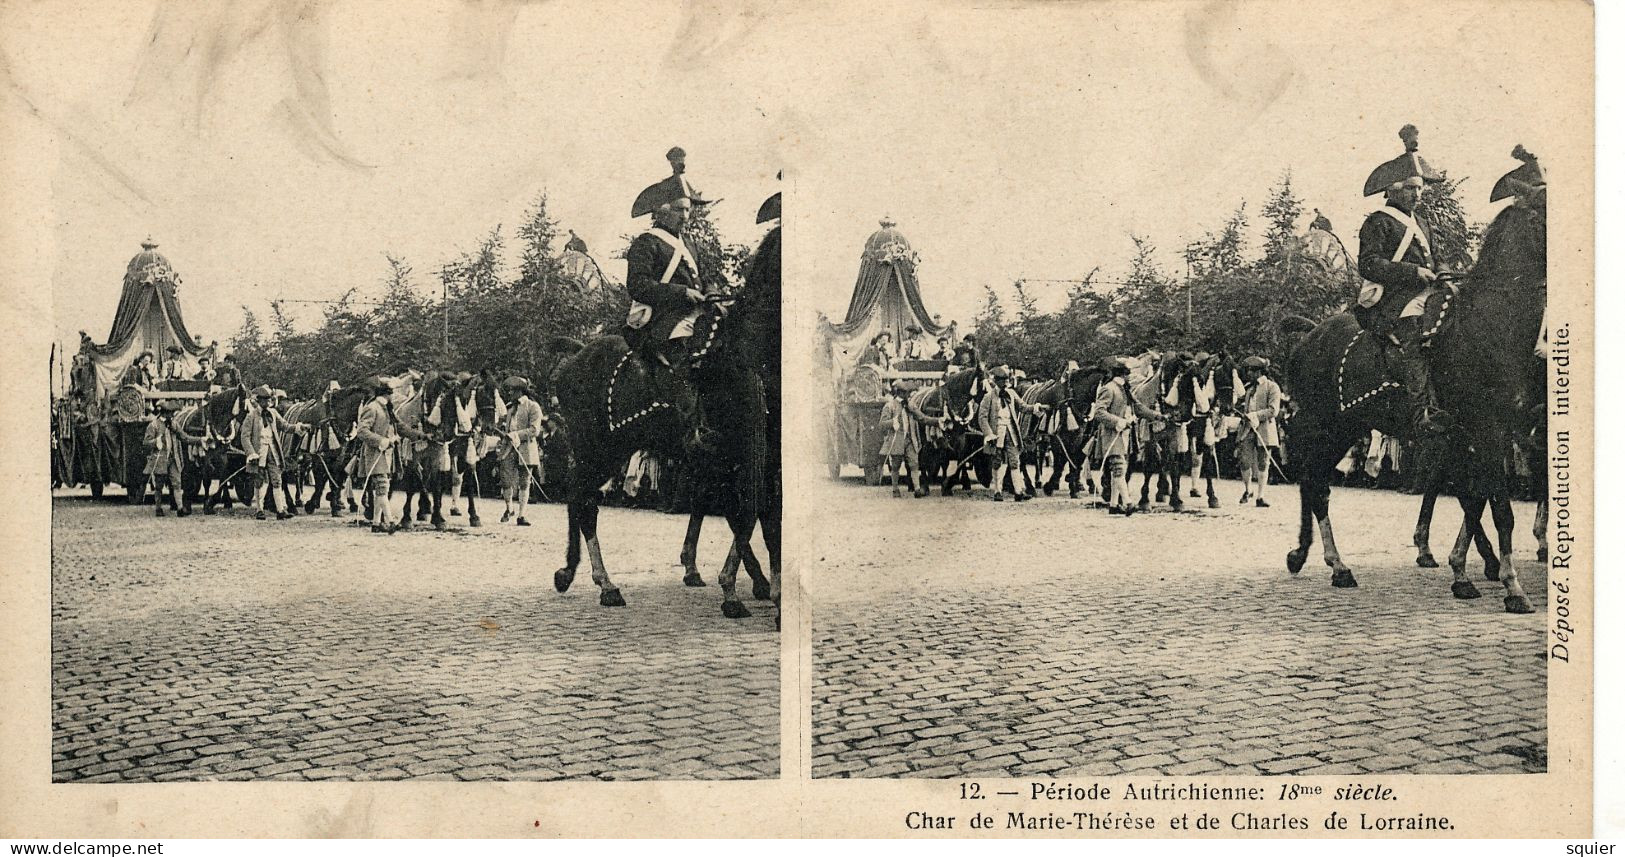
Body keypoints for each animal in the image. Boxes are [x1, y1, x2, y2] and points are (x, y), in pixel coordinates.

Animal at [546, 224, 780, 621]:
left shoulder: (752, 455)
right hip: (598, 449)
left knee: (580, 498)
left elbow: (754, 513)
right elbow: (749, 512)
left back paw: (572, 573)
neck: (746, 351)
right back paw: (604, 584)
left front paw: (759, 586)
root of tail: (577, 353)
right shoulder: (742, 452)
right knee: (583, 501)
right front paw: (736, 590)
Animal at [1280, 191, 1547, 614]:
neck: (1491, 327)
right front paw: (1512, 587)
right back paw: (1337, 565)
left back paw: (1306, 555)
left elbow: (1475, 499)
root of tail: (1309, 336)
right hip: (1327, 427)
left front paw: (1463, 573)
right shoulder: (1488, 431)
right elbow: (1499, 510)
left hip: (1347, 429)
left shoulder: (1490, 435)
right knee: (1316, 484)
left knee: (1313, 480)